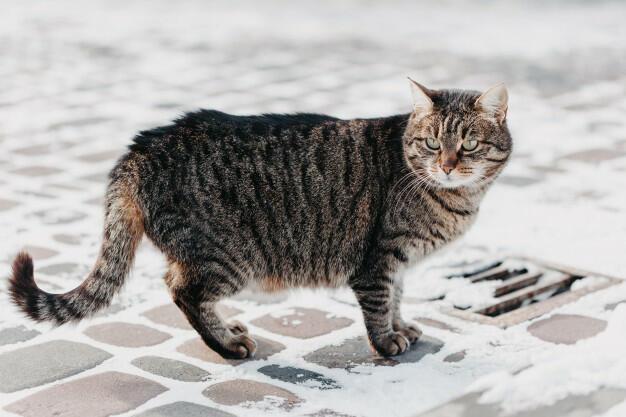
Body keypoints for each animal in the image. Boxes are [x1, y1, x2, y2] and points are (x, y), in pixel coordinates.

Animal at [7, 79, 510, 358]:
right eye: (432, 143)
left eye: (468, 144)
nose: (447, 164)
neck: (456, 197)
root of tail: (142, 147)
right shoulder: (379, 259)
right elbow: (380, 305)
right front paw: (387, 341)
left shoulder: (396, 263)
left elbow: (398, 298)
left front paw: (403, 328)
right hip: (228, 258)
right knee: (181, 290)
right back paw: (228, 345)